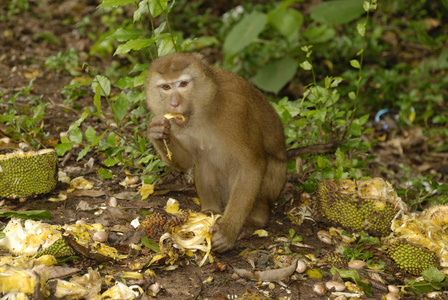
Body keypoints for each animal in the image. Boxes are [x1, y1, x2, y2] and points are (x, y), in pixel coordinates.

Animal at [147, 52, 288, 253]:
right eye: (166, 87)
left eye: (183, 84)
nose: (174, 104)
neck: (206, 106)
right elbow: (187, 161)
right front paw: (157, 132)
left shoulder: (236, 110)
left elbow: (252, 165)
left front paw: (227, 231)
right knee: (204, 157)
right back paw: (210, 211)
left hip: (276, 180)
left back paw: (254, 220)